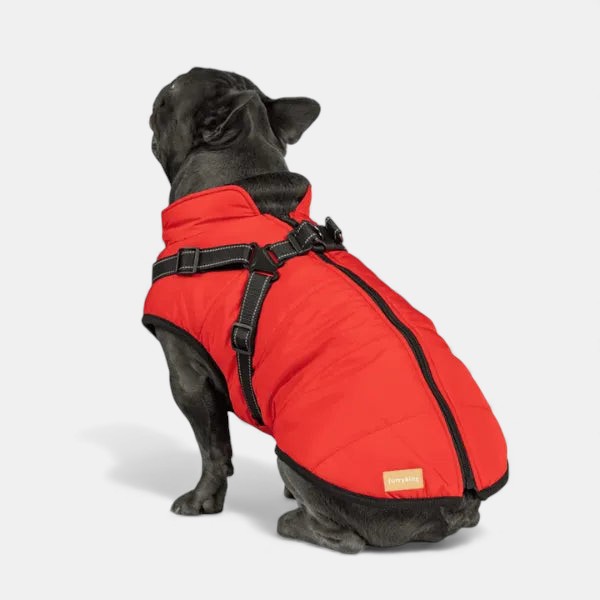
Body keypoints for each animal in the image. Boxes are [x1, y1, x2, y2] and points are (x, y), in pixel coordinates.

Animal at [145, 67, 505, 553]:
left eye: (167, 95)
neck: (244, 187)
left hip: (296, 454)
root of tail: (460, 501)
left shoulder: (187, 373)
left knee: (344, 537)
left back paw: (291, 520)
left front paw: (202, 500)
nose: (157, 92)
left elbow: (213, 448)